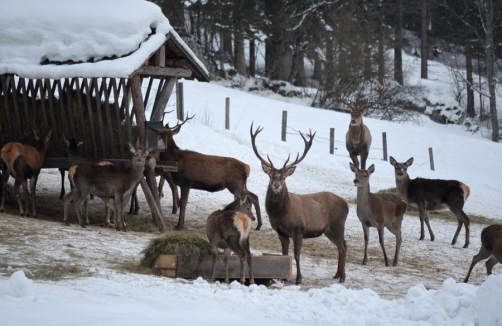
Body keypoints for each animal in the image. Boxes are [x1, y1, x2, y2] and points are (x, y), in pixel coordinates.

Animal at [251, 123, 350, 284]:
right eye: (271, 176)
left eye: (283, 177)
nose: (276, 185)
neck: (282, 215)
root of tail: (346, 204)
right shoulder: (281, 232)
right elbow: (284, 253)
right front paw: (284, 278)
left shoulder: (298, 230)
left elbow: (297, 255)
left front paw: (298, 279)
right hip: (328, 229)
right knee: (342, 245)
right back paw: (336, 274)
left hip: (338, 224)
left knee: (343, 246)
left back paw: (342, 277)